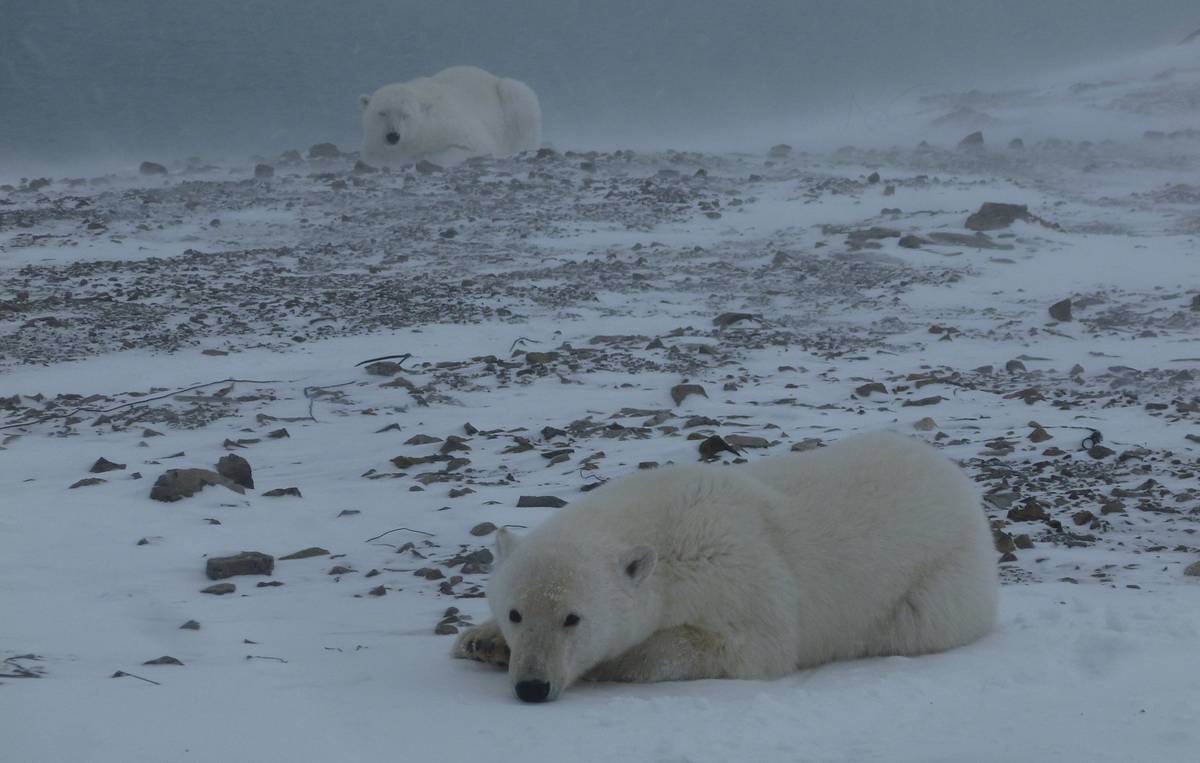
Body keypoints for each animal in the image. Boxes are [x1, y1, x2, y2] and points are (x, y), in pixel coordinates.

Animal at [357, 65, 542, 167]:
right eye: (381, 113)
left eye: (405, 115)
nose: (393, 136)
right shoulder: (374, 144)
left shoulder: (449, 125)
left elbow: (473, 146)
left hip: (509, 95)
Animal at [453, 431, 998, 700]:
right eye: (515, 613)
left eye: (573, 618)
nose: (531, 687)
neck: (665, 530)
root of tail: (957, 481)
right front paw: (480, 641)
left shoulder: (737, 572)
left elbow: (745, 646)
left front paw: (614, 662)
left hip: (938, 580)